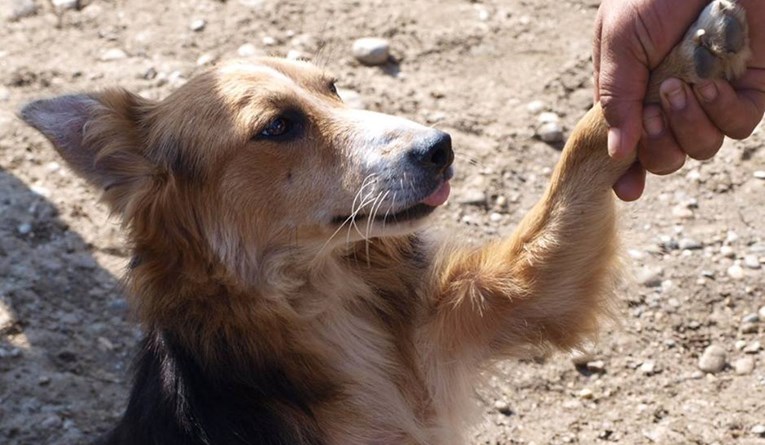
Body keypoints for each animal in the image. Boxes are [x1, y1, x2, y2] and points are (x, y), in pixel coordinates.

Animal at [19, 1, 752, 442]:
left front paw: (685, 57)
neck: (321, 300)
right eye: (277, 126)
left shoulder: (493, 307)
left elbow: (587, 143)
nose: (439, 146)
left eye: (334, 87)